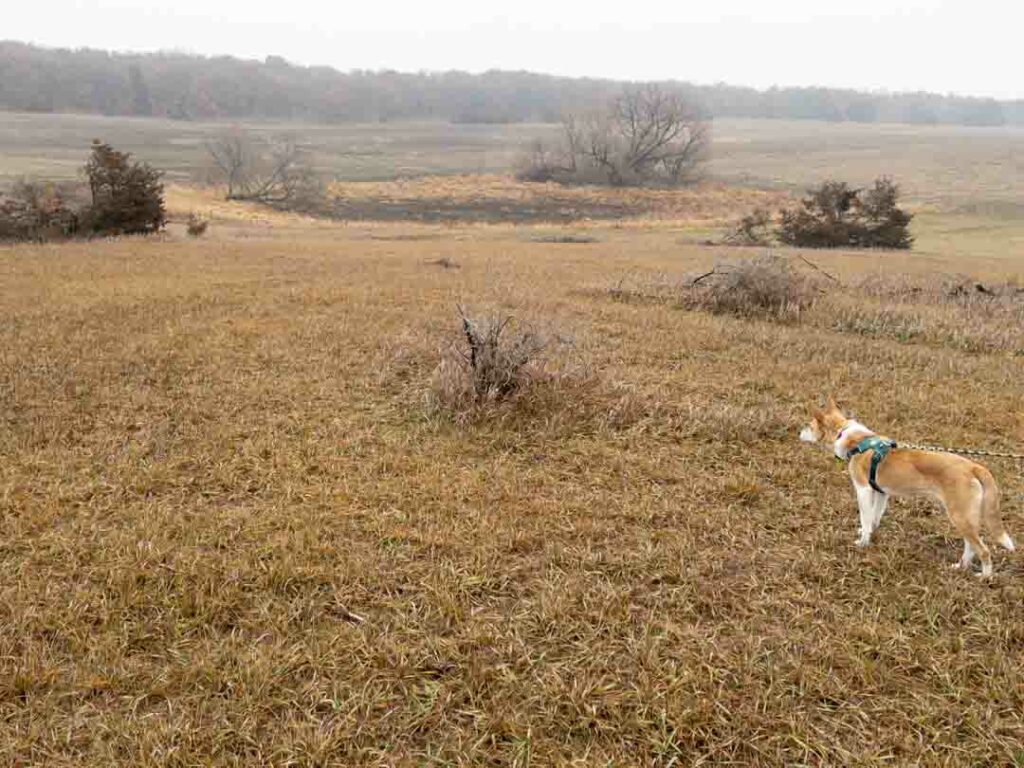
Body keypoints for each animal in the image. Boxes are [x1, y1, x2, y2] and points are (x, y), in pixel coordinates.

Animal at [794, 397, 1011, 577]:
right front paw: (870, 534)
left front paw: (863, 543)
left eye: (808, 425)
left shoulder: (863, 489)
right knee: (971, 545)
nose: (797, 432)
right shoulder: (881, 493)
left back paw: (985, 577)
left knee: (983, 549)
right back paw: (960, 567)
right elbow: (874, 518)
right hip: (965, 517)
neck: (849, 436)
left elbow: (865, 518)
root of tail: (974, 466)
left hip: (959, 516)